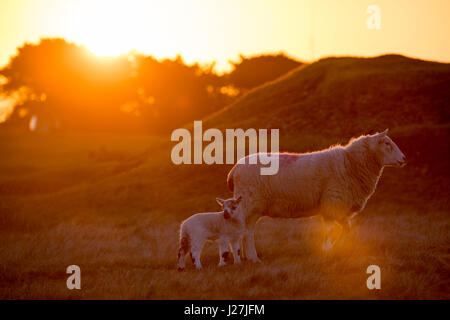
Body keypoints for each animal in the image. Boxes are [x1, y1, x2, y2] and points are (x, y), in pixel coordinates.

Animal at [227, 129, 406, 262]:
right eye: (387, 143)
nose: (404, 159)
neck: (350, 164)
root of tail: (234, 170)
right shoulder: (332, 203)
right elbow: (329, 230)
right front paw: (327, 250)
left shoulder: (341, 207)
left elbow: (347, 229)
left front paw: (342, 248)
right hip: (250, 203)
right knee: (248, 232)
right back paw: (253, 257)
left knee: (244, 231)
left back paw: (245, 257)